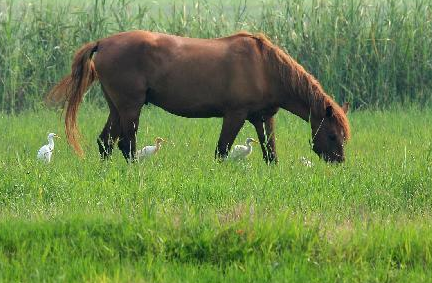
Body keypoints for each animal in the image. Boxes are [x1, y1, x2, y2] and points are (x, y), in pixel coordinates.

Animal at [48, 30, 352, 163]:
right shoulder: (235, 115)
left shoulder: (262, 118)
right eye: (332, 135)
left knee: (106, 142)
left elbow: (270, 153)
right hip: (130, 108)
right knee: (126, 144)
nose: (338, 161)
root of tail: (102, 43)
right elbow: (222, 150)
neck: (264, 66)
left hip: (116, 108)